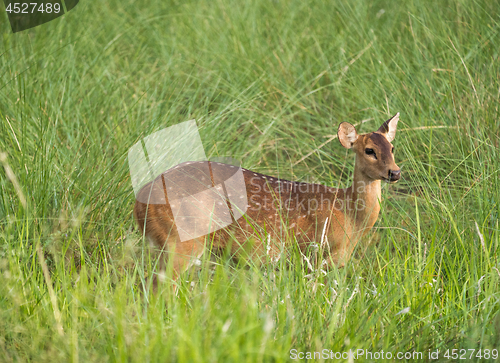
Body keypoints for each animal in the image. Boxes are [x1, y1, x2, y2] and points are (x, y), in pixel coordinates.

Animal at [133, 112, 402, 288]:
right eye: (369, 150)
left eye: (392, 148)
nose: (395, 172)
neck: (349, 216)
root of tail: (139, 202)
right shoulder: (314, 253)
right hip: (181, 240)